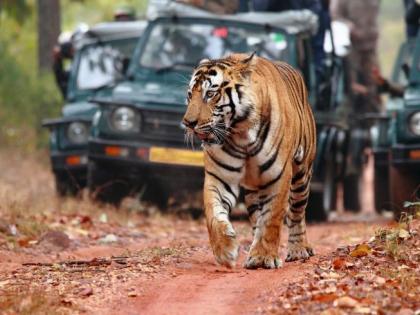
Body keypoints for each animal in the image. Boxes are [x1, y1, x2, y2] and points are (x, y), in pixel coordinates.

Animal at [182, 53, 316, 270]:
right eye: (189, 95)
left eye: (210, 94)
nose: (188, 123)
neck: (240, 134)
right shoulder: (219, 177)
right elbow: (213, 214)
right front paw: (225, 250)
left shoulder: (279, 176)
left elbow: (272, 218)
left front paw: (264, 257)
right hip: (254, 190)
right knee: (256, 217)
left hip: (302, 174)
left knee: (297, 212)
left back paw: (298, 250)